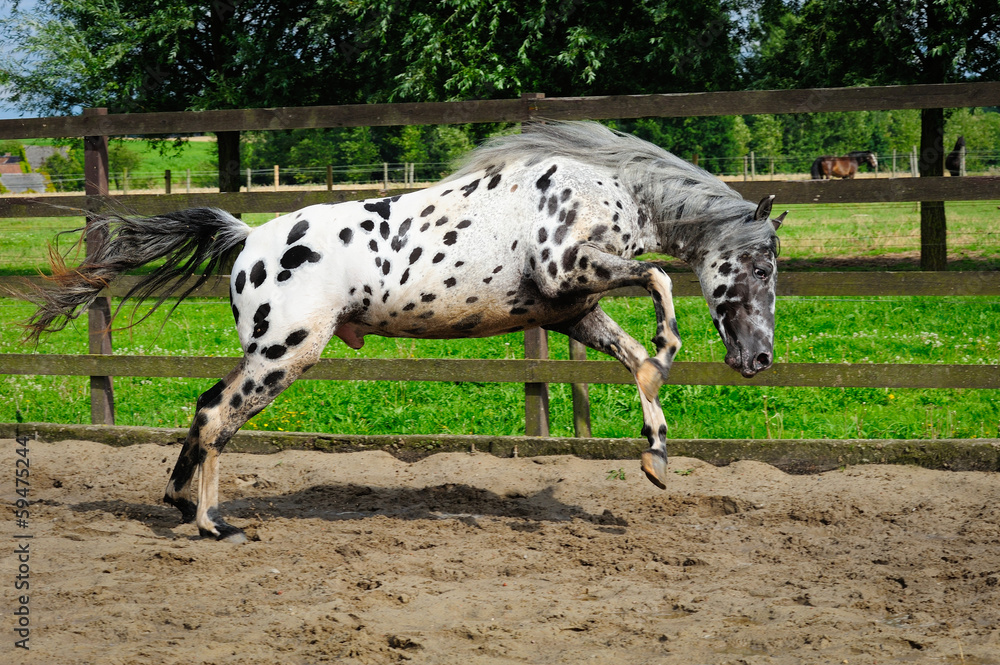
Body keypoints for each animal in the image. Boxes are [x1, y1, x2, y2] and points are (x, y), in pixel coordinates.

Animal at [23, 122, 784, 544]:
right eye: (761, 264)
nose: (760, 357)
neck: (607, 186)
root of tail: (246, 239)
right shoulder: (568, 269)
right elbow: (657, 281)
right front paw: (668, 348)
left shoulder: (567, 308)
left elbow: (631, 358)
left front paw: (656, 454)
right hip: (286, 353)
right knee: (217, 415)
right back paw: (216, 525)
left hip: (268, 353)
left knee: (208, 406)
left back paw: (184, 505)